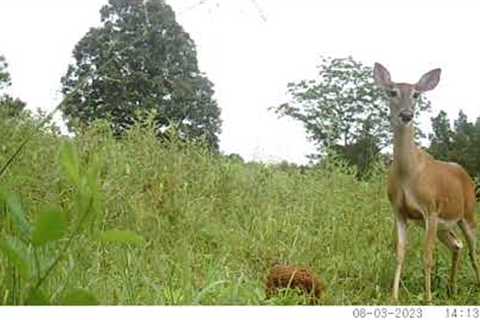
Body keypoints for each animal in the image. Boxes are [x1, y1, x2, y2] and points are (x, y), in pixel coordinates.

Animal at [376, 62, 480, 302]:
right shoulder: (399, 211)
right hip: (444, 225)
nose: (407, 114)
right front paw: (394, 297)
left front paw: (429, 298)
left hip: (468, 213)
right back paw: (451, 289)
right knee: (457, 245)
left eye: (416, 94)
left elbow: (427, 257)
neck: (408, 175)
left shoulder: (431, 208)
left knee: (473, 250)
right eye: (392, 92)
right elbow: (400, 253)